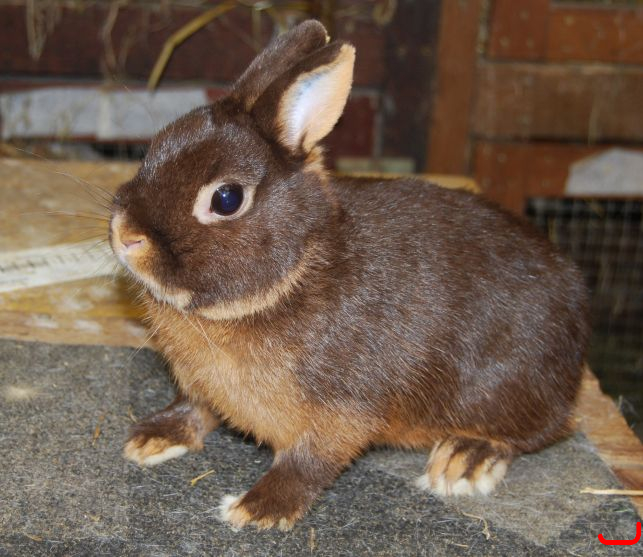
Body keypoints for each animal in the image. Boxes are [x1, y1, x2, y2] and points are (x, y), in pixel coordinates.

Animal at [109, 20, 589, 530]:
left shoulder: (341, 411)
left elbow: (311, 460)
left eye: (226, 199)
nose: (125, 234)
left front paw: (258, 509)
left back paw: (466, 458)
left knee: (542, 429)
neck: (288, 279)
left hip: (507, 389)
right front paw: (152, 437)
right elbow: (194, 408)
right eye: (156, 146)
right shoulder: (198, 387)